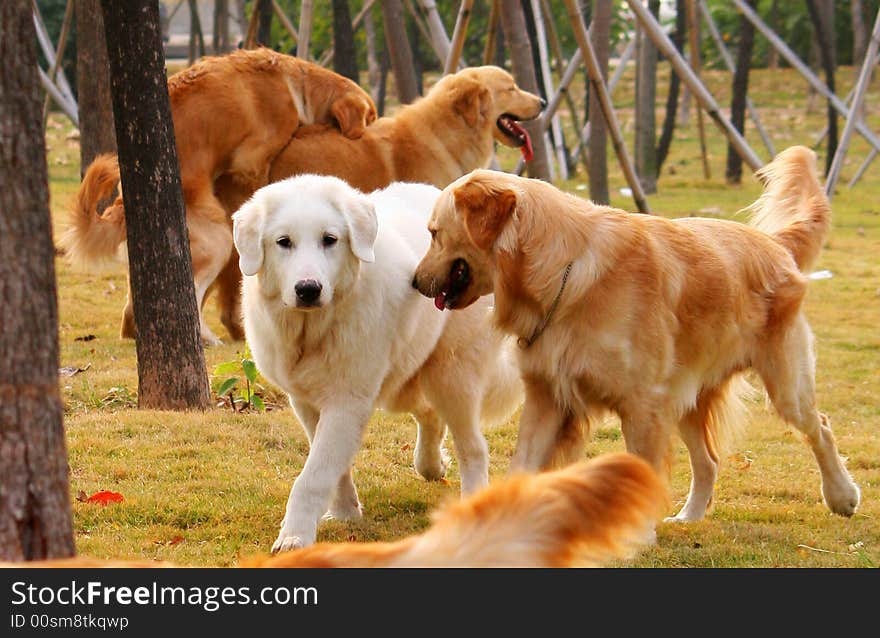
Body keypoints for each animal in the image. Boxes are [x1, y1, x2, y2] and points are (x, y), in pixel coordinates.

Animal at [58, 50, 374, 348]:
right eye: (370, 117)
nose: (369, 132)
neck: (296, 84)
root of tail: (124, 206)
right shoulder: (252, 160)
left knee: (131, 315)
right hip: (217, 239)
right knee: (193, 299)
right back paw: (207, 338)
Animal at [234, 176, 524, 556]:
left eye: (330, 240)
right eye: (284, 242)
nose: (308, 289)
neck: (315, 329)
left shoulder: (346, 403)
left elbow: (312, 477)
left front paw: (294, 538)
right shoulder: (307, 403)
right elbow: (334, 467)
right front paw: (345, 513)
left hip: (452, 378)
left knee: (473, 447)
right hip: (410, 379)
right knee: (429, 416)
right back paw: (431, 465)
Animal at [412, 148, 860, 524]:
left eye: (434, 232)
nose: (415, 282)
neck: (562, 272)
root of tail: (772, 243)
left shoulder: (641, 405)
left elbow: (641, 472)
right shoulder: (546, 396)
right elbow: (523, 463)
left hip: (784, 384)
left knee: (819, 426)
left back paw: (842, 495)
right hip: (686, 396)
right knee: (709, 461)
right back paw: (689, 517)